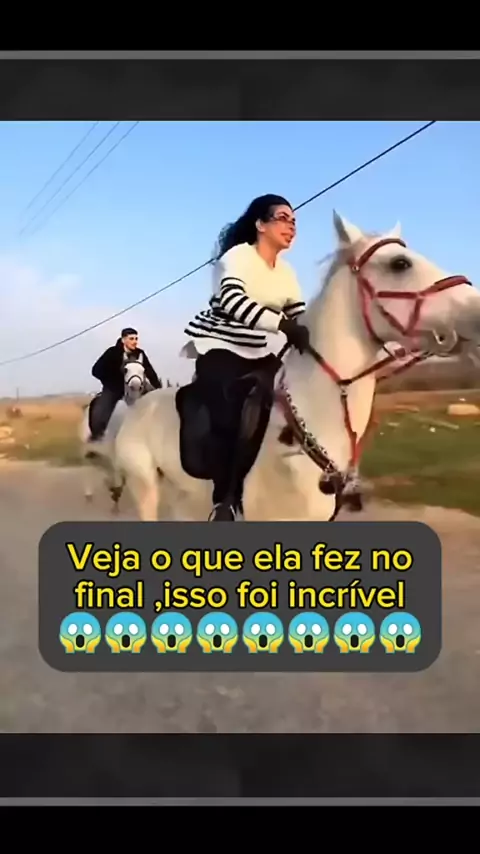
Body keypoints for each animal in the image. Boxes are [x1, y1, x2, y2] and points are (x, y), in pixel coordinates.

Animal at [78, 355, 154, 510]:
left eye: (143, 370)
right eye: (125, 369)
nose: (135, 386)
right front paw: (116, 495)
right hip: (86, 448)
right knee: (88, 466)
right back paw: (90, 493)